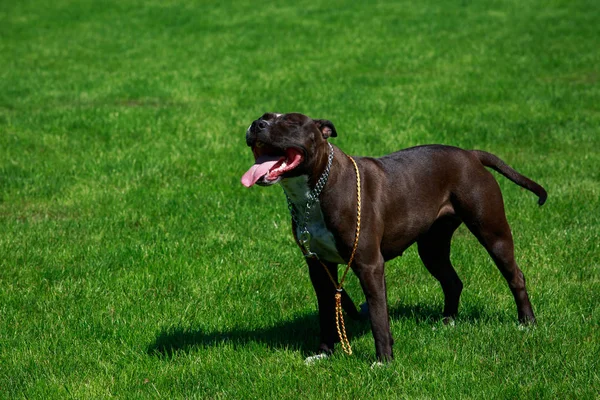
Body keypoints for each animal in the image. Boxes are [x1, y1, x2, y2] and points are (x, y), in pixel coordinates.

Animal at [241, 112, 548, 362]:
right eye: (264, 116)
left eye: (291, 122)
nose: (256, 124)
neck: (315, 191)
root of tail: (471, 154)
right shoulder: (318, 267)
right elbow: (327, 312)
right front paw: (323, 353)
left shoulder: (369, 265)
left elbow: (379, 317)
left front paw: (383, 361)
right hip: (432, 247)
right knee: (452, 281)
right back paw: (448, 321)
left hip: (492, 232)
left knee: (515, 276)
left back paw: (527, 323)